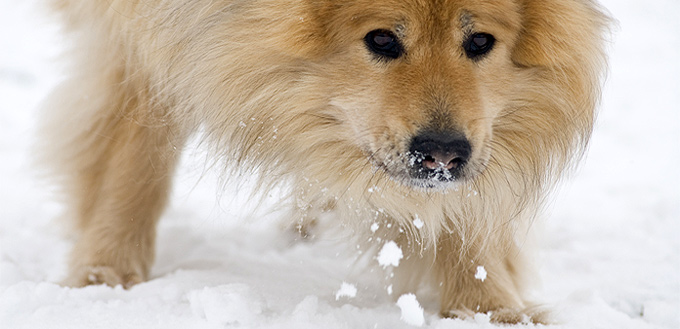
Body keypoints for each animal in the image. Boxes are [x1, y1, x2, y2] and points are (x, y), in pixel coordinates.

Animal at [39, 0, 608, 322]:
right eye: (381, 38)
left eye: (480, 41)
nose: (443, 153)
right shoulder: (146, 36)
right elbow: (134, 157)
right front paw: (106, 277)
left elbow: (466, 213)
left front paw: (489, 308)